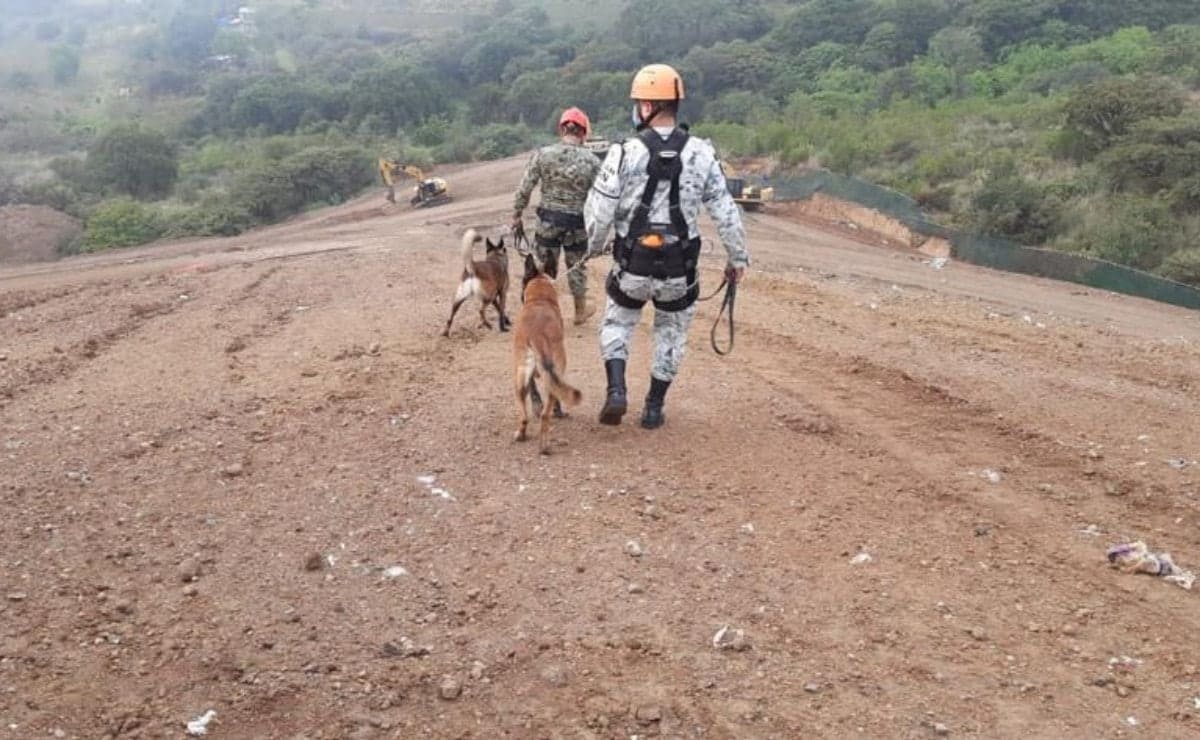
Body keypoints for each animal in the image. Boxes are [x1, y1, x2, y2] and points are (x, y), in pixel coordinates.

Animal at [511, 250, 580, 453]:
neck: (540, 299)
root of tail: (538, 335)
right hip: (549, 371)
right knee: (544, 413)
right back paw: (544, 444)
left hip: (520, 376)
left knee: (527, 415)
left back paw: (524, 436)